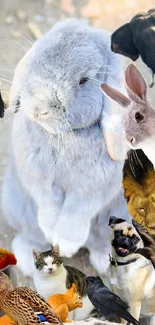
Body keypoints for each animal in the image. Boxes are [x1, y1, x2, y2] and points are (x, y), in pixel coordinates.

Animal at [1, 19, 131, 274]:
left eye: (83, 81)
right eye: (36, 58)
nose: (38, 107)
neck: (63, 136)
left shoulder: (92, 190)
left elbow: (75, 212)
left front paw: (66, 244)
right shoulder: (39, 180)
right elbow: (48, 205)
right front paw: (53, 233)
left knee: (101, 241)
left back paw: (104, 261)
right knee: (32, 236)